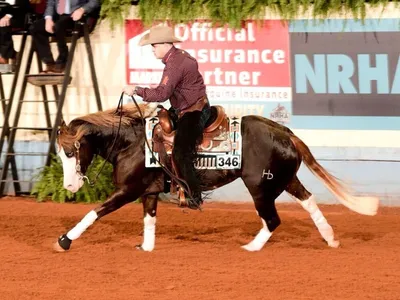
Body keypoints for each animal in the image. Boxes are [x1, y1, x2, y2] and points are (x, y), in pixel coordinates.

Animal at [54, 102, 380, 252]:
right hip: (285, 180)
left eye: (71, 152)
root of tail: (285, 131)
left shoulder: (128, 190)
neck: (132, 142)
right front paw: (145, 248)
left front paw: (64, 240)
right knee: (308, 201)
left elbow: (95, 212)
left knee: (273, 219)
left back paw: (251, 247)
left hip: (260, 187)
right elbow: (149, 220)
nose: (70, 185)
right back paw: (330, 238)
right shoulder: (148, 192)